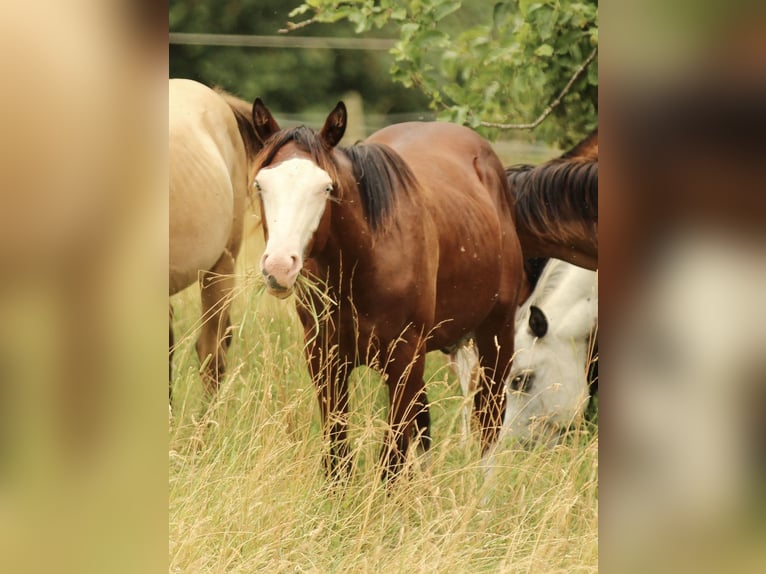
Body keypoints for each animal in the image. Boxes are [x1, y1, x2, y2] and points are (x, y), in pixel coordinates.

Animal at [249, 99, 525, 480]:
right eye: (261, 186)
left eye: (326, 188)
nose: (278, 267)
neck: (364, 262)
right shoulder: (324, 359)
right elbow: (338, 455)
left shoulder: (403, 359)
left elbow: (390, 460)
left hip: (496, 335)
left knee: (489, 420)